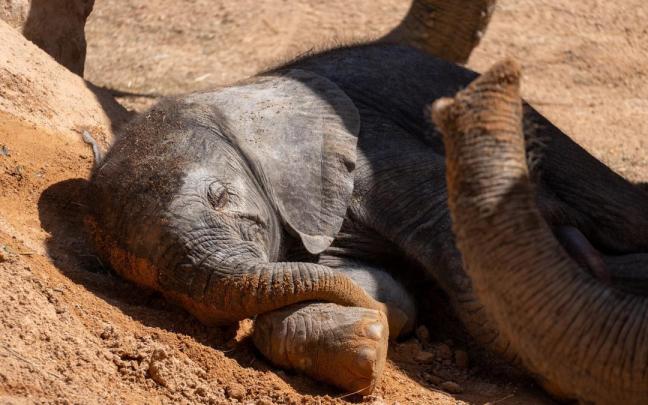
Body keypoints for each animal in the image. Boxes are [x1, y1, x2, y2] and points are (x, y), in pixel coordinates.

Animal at [84, 0, 648, 398]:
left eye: (219, 196)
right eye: (157, 287)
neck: (233, 93)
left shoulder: (374, 144)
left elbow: (459, 257)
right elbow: (377, 283)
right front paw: (365, 337)